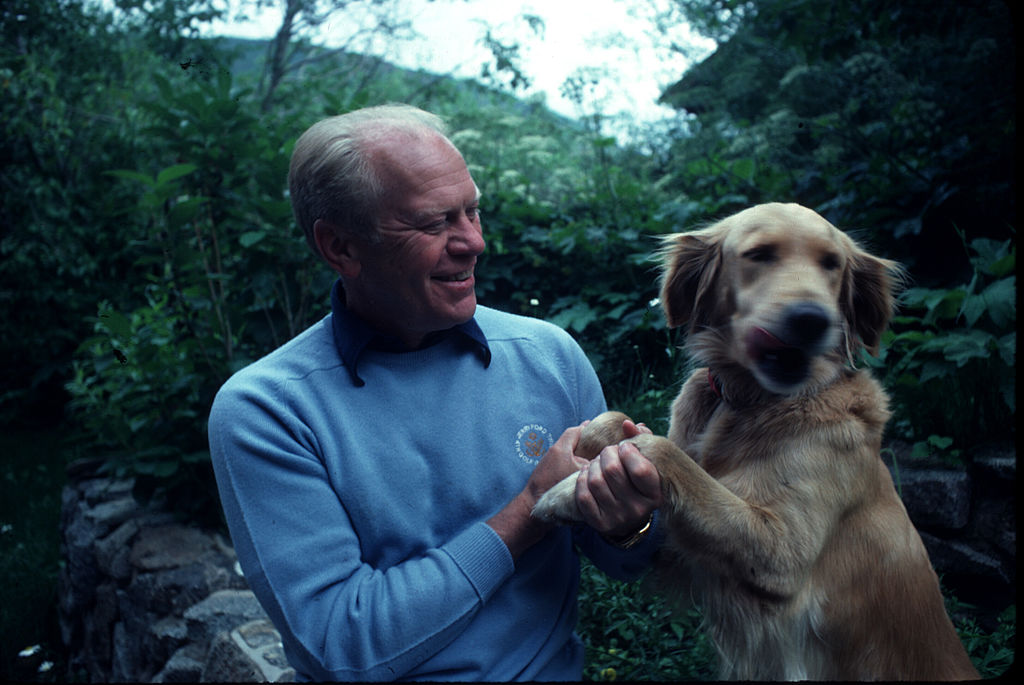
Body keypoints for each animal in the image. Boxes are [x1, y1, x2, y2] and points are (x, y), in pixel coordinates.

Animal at [532, 202, 978, 679]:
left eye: (831, 264)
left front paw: (558, 494)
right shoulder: (684, 551)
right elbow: (621, 423)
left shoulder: (781, 554)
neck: (747, 402)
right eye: (760, 254)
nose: (811, 319)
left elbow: (660, 450)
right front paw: (579, 452)